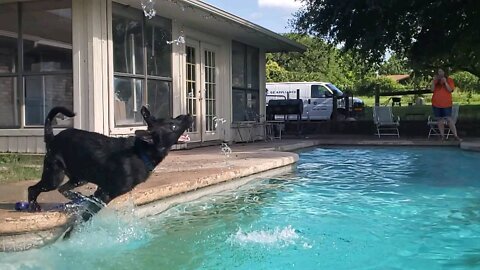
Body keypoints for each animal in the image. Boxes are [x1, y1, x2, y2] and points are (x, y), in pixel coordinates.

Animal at [28, 106, 192, 211]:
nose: (189, 115)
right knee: (33, 189)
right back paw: (33, 205)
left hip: (80, 178)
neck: (142, 152)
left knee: (63, 189)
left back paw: (76, 197)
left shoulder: (101, 189)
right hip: (54, 177)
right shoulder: (105, 194)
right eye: (173, 127)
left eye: (173, 119)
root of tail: (52, 138)